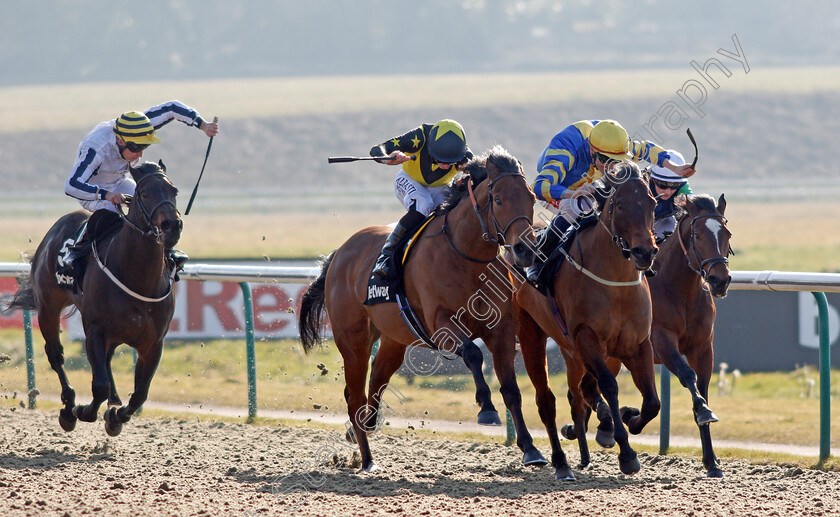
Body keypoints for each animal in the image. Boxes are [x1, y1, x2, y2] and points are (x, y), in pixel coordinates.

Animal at [7, 161, 182, 436]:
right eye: (144, 194)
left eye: (173, 191)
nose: (172, 226)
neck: (138, 276)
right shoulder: (96, 330)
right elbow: (99, 386)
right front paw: (82, 411)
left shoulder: (153, 342)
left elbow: (139, 394)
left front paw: (116, 415)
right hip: (48, 307)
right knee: (55, 354)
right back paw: (69, 406)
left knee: (106, 363)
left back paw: (112, 403)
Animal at [560, 192, 732, 476]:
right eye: (697, 236)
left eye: (727, 234)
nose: (720, 280)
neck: (679, 290)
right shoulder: (660, 341)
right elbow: (686, 376)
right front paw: (632, 419)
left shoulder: (703, 347)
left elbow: (702, 387)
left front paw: (711, 460)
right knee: (581, 390)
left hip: (611, 355)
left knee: (586, 388)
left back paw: (595, 429)